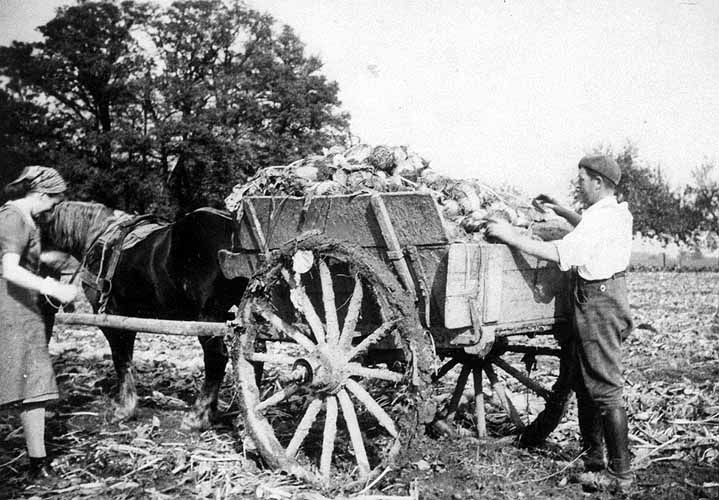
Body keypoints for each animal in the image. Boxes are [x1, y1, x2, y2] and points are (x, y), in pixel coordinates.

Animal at [39, 201, 249, 428]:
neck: (98, 237)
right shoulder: (126, 319)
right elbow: (127, 359)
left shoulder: (110, 318)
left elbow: (120, 360)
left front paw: (124, 409)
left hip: (207, 316)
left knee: (216, 359)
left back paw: (198, 415)